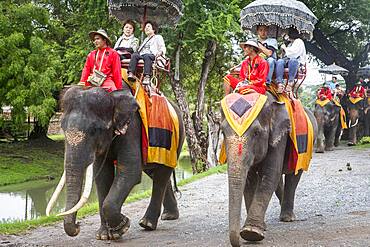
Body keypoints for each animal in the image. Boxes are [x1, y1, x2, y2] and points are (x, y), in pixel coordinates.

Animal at [46, 84, 185, 240]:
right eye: (62, 128)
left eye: (94, 130)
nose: (78, 226)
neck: (112, 95)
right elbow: (102, 176)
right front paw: (103, 235)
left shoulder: (132, 127)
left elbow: (130, 171)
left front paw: (122, 227)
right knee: (155, 173)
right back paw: (169, 216)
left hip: (175, 140)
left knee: (162, 174)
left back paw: (147, 224)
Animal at [220, 93, 318, 247]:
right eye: (223, 132)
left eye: (256, 133)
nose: (238, 243)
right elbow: (250, 180)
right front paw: (258, 228)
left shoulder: (280, 137)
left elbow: (271, 172)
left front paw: (251, 233)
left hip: (306, 148)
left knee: (293, 176)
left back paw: (287, 217)